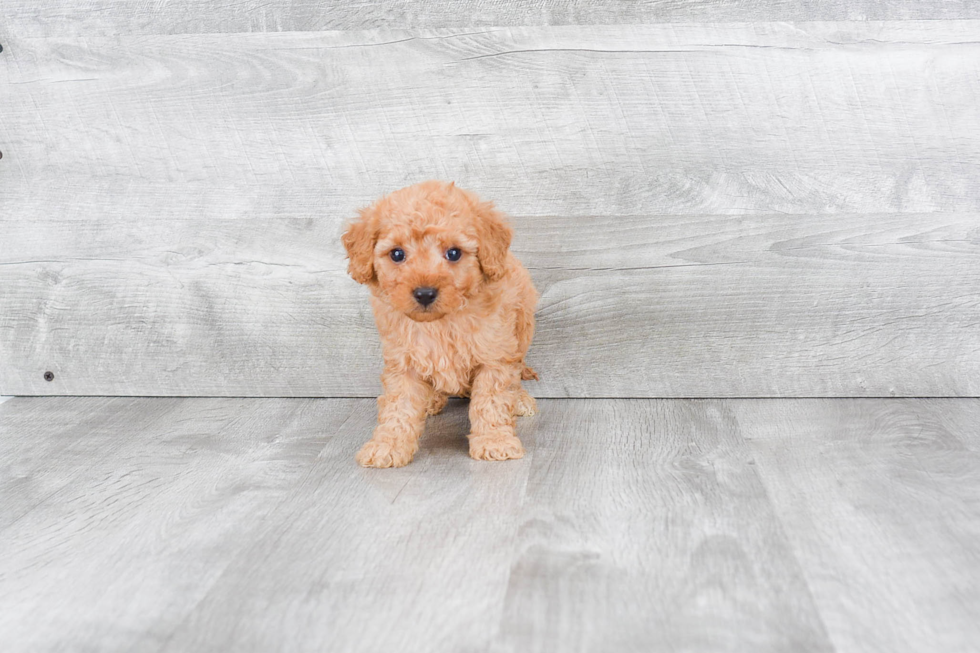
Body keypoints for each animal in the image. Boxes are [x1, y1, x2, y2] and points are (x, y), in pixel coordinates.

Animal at [342, 181, 544, 466]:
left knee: (517, 371)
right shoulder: (402, 362)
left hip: (524, 325)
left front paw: (495, 441)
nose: (425, 293)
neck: (439, 323)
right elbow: (398, 407)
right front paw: (387, 445)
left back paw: (521, 400)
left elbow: (492, 401)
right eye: (397, 254)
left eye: (454, 253)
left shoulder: (494, 355)